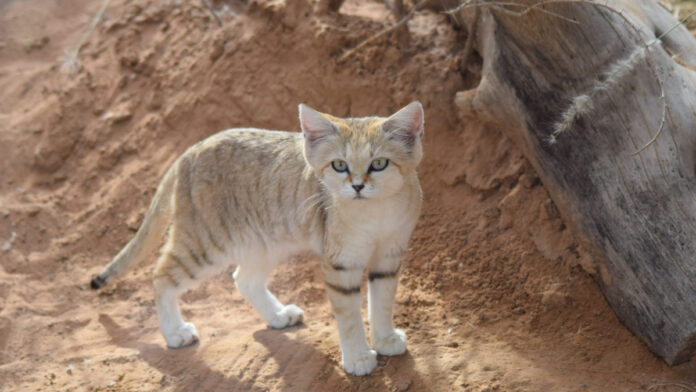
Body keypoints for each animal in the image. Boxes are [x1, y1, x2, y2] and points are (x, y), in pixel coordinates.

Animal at [89, 101, 422, 376]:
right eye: (339, 165)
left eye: (379, 164)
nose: (357, 186)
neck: (375, 214)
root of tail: (192, 148)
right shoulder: (341, 263)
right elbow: (350, 316)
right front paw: (357, 357)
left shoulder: (389, 256)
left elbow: (382, 302)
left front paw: (385, 339)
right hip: (205, 245)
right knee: (160, 277)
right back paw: (175, 333)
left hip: (262, 243)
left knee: (243, 279)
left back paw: (277, 315)